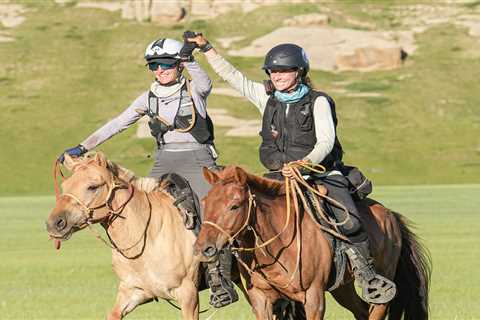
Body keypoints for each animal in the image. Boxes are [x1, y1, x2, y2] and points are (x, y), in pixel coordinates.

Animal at [195, 166, 432, 320]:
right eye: (205, 202)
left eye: (234, 205)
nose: (203, 248)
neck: (279, 245)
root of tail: (390, 215)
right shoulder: (261, 300)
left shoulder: (313, 298)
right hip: (343, 288)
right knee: (361, 311)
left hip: (381, 287)